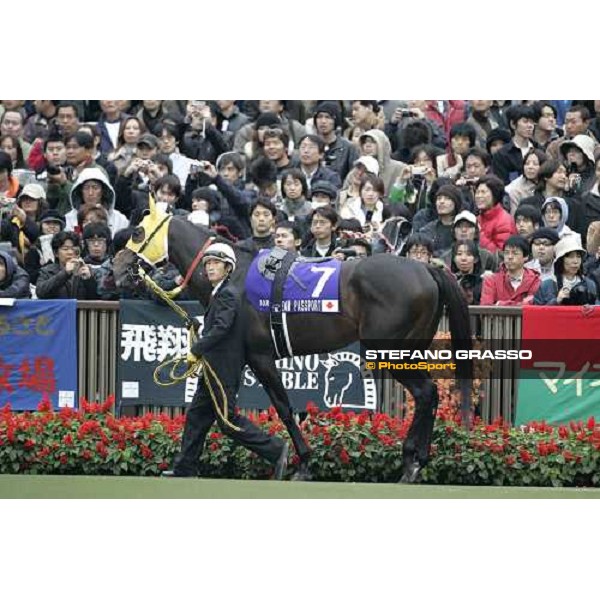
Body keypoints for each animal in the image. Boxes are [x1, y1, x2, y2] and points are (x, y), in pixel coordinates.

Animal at [111, 205, 468, 482]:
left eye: (138, 233)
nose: (116, 267)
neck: (235, 274)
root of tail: (425, 268)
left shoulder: (260, 356)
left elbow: (283, 407)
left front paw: (302, 463)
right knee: (429, 395)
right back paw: (417, 460)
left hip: (387, 350)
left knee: (425, 393)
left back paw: (411, 462)